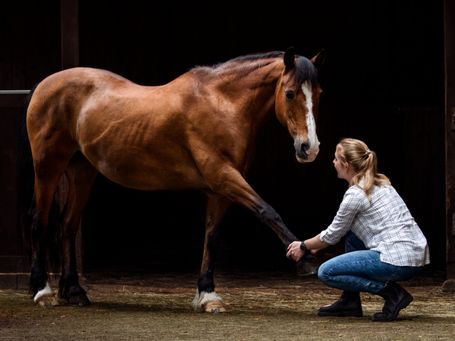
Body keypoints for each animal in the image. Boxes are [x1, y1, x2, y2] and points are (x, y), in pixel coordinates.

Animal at [24, 47, 324, 310]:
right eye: (290, 93)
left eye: (319, 94)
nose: (309, 148)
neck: (222, 103)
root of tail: (43, 86)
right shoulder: (224, 177)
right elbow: (267, 211)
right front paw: (304, 258)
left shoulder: (219, 189)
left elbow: (212, 236)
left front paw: (207, 295)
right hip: (48, 167)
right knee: (40, 221)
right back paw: (42, 291)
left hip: (81, 171)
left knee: (67, 225)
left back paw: (74, 291)